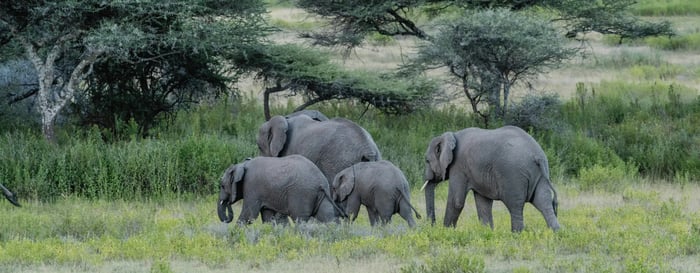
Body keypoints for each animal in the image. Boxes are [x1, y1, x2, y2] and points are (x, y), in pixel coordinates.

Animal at [213, 154, 344, 224]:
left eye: (222, 186)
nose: (228, 202)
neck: (242, 165)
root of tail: (321, 181)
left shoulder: (252, 187)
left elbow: (249, 216)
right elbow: (268, 217)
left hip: (302, 194)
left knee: (300, 219)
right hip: (320, 194)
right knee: (328, 216)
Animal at [418, 125, 560, 232]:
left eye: (427, 160)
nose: (431, 226)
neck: (451, 135)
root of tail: (537, 155)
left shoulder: (459, 167)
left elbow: (456, 202)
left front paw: (446, 232)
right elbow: (483, 203)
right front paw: (487, 233)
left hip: (513, 176)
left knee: (515, 206)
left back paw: (517, 235)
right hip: (540, 174)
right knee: (544, 202)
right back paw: (556, 233)